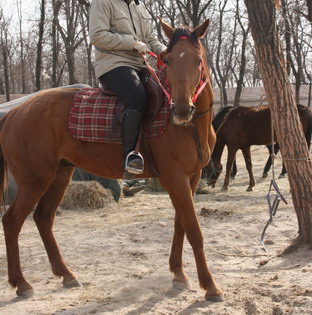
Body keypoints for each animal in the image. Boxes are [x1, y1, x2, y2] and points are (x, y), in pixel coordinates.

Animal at [0, 19, 224, 302]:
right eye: (169, 60)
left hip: (60, 175)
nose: (182, 110)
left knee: (43, 218)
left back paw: (66, 275)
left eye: (197, 60)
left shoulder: (190, 178)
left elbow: (180, 224)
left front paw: (178, 275)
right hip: (34, 181)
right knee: (12, 221)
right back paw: (21, 283)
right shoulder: (176, 179)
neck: (190, 126)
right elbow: (194, 230)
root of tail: (15, 113)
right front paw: (210, 286)